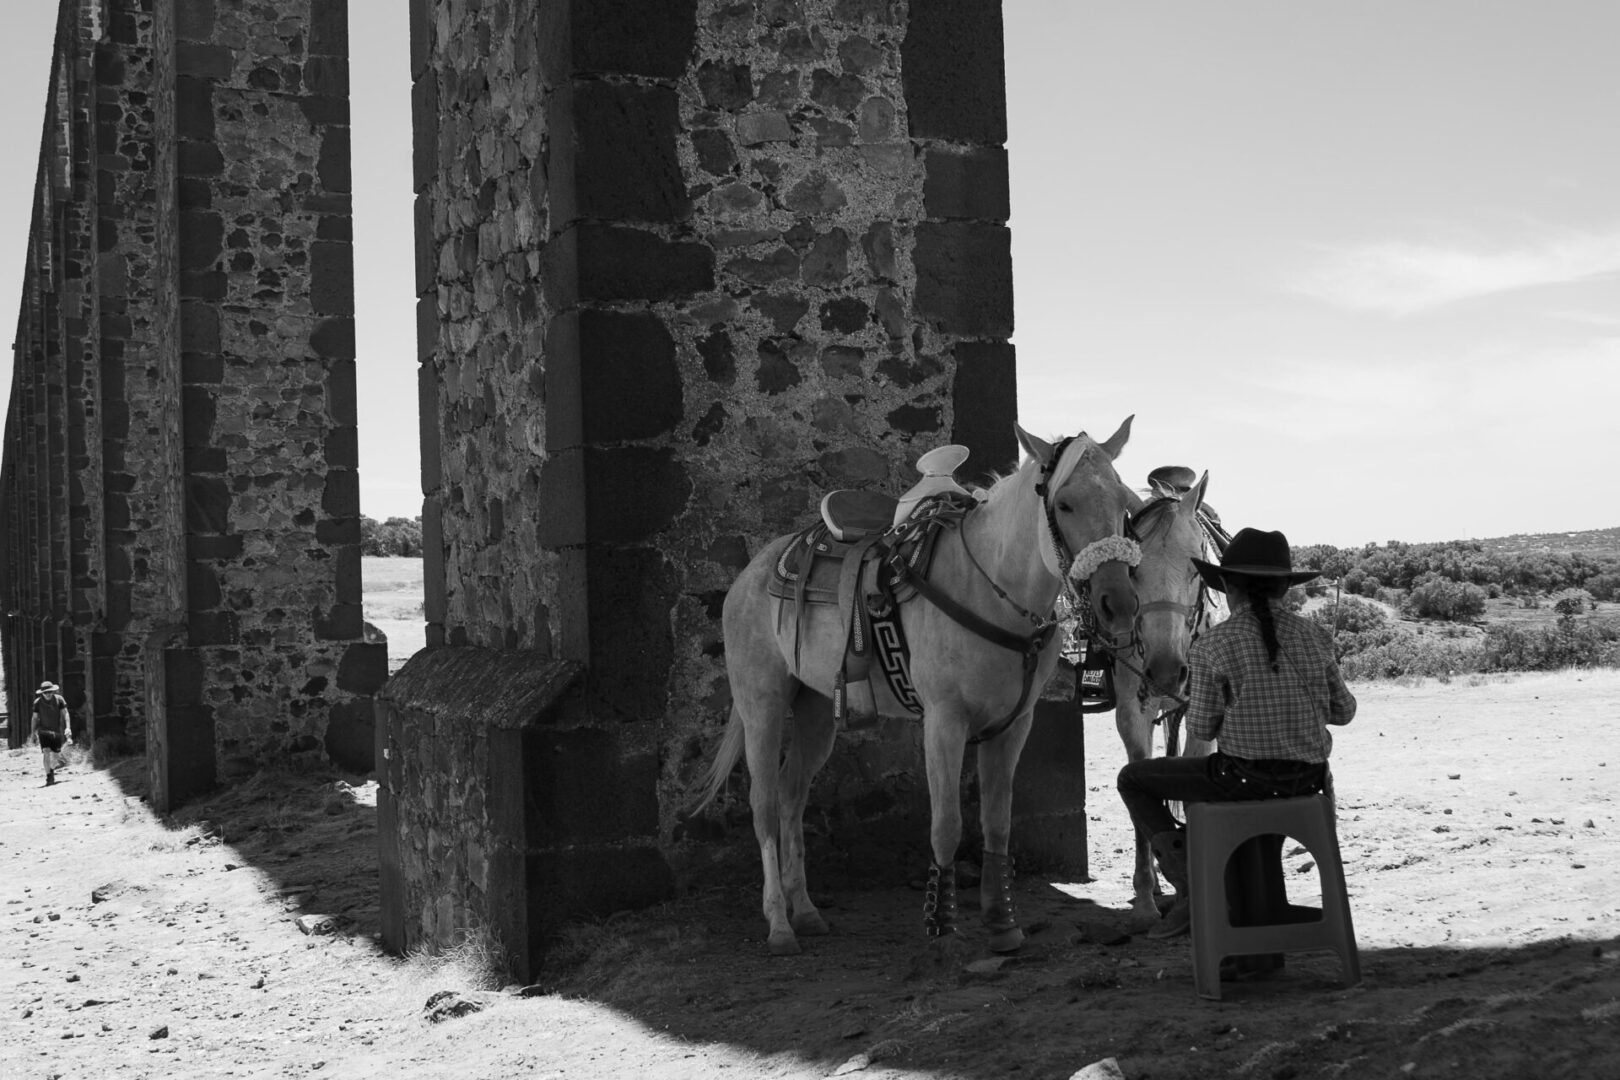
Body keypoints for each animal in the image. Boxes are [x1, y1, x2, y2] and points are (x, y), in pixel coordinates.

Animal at [693, 420, 1140, 952]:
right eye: (1065, 503)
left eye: (1125, 502)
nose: (1119, 603)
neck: (987, 587)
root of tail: (749, 575)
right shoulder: (945, 722)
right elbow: (946, 825)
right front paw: (941, 925)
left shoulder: (1013, 726)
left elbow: (997, 823)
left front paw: (1002, 922)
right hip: (761, 704)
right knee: (762, 804)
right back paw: (780, 925)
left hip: (816, 712)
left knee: (790, 796)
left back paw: (805, 910)